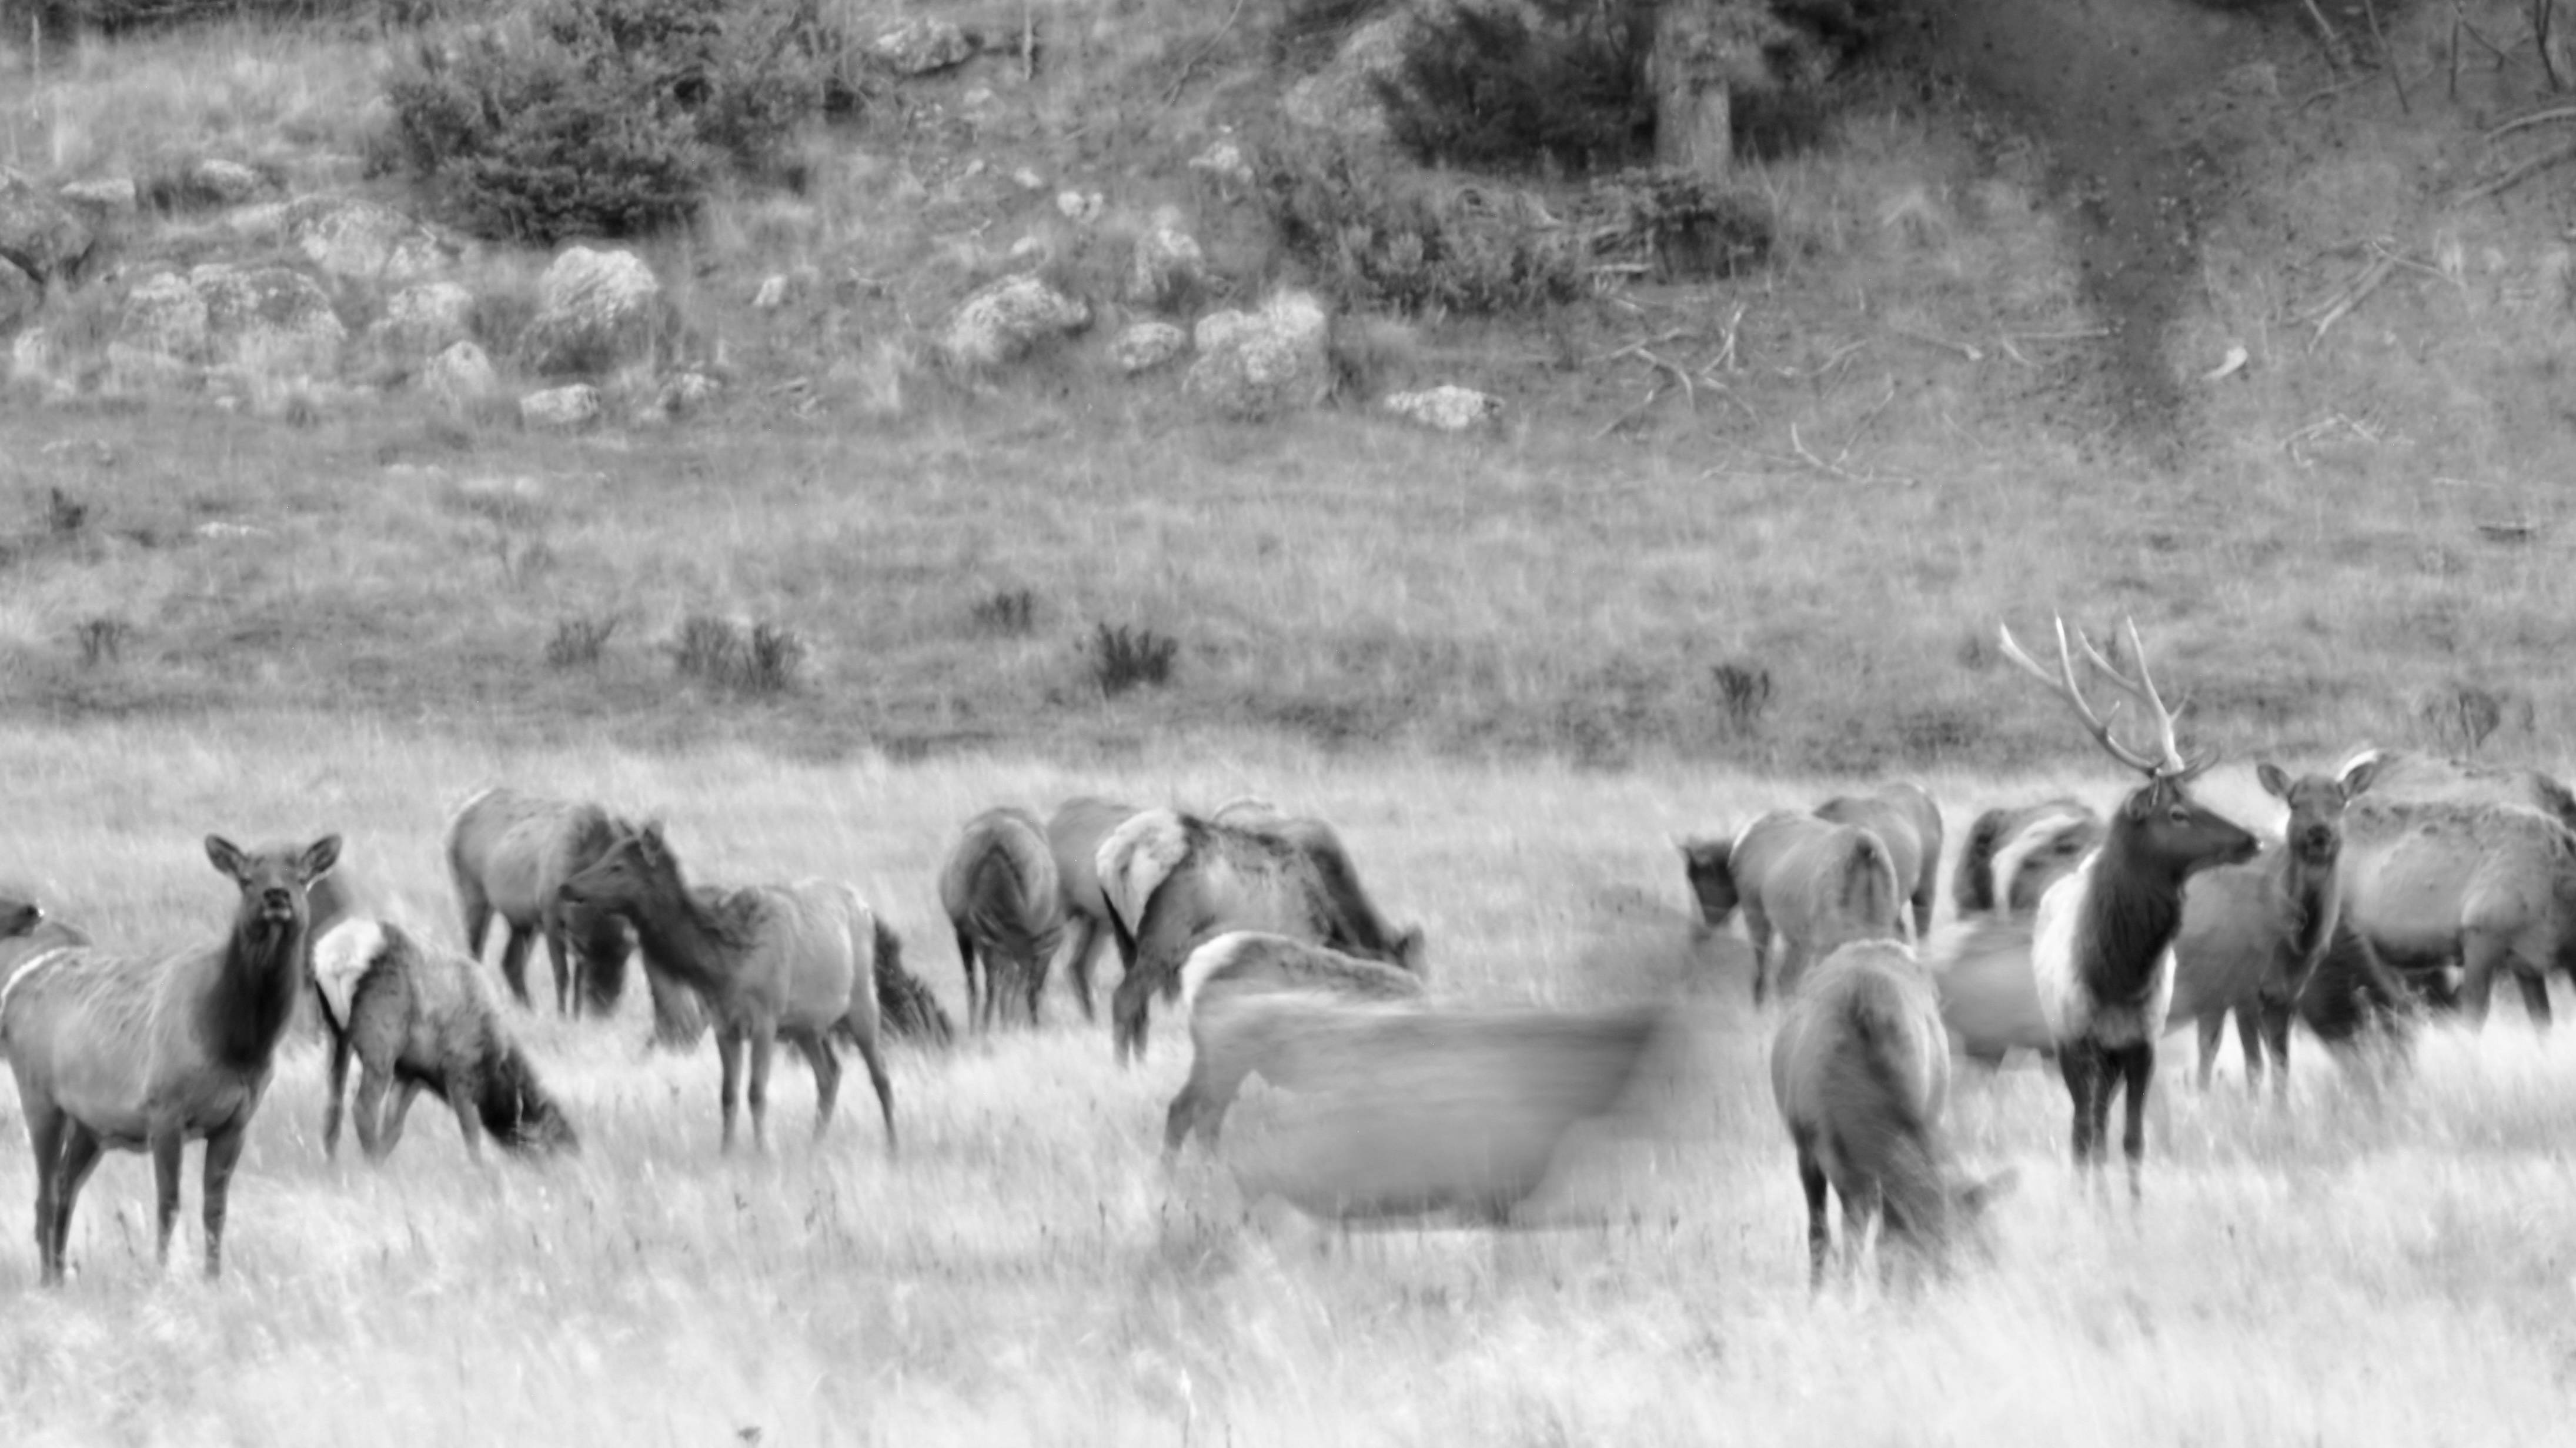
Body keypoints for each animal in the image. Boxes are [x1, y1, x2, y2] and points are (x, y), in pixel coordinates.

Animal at [1996, 617, 2259, 1203]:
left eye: (2197, 799)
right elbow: (2088, 1138)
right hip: (2064, 1045)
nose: (2251, 839)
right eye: (2177, 813)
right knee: (2082, 1129)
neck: (2118, 976)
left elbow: (2134, 1141)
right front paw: (2093, 1210)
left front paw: (2132, 1214)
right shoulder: (2080, 1043)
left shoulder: (2144, 1044)